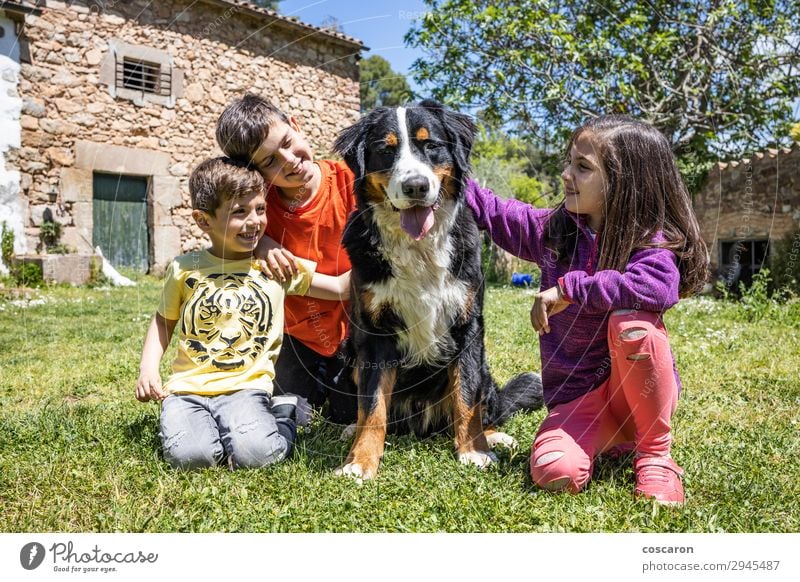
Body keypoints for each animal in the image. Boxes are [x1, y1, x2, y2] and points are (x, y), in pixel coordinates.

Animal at [332, 101, 544, 484]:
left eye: (430, 145)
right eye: (386, 150)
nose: (415, 186)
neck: (418, 249)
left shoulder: (467, 325)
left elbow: (467, 396)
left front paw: (474, 451)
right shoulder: (374, 333)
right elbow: (372, 405)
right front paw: (360, 461)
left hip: (485, 366)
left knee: (484, 405)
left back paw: (495, 436)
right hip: (348, 354)